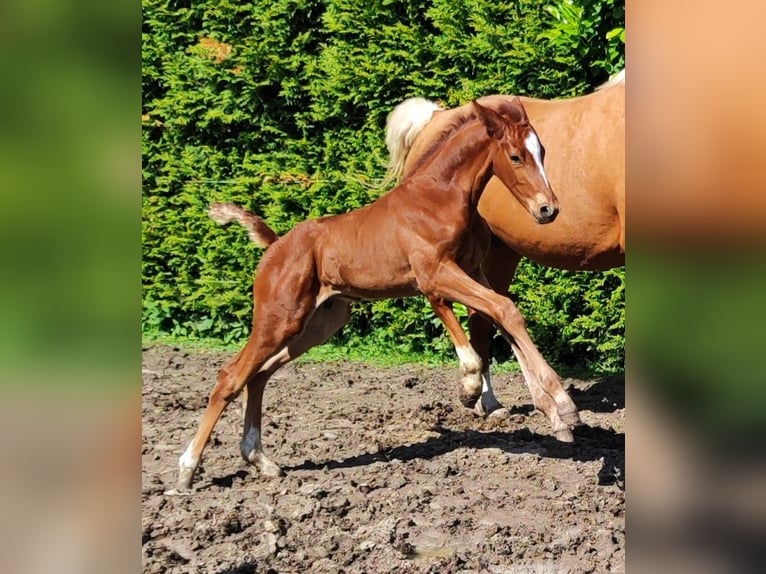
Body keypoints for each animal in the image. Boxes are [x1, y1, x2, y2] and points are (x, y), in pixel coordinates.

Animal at [174, 99, 580, 496]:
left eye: (542, 151)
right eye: (515, 156)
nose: (548, 209)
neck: (440, 197)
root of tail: (275, 245)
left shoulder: (470, 272)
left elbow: (502, 315)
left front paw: (557, 411)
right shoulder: (435, 275)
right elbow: (499, 312)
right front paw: (486, 391)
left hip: (318, 323)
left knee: (258, 375)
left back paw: (260, 459)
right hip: (279, 318)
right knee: (231, 376)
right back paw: (187, 472)